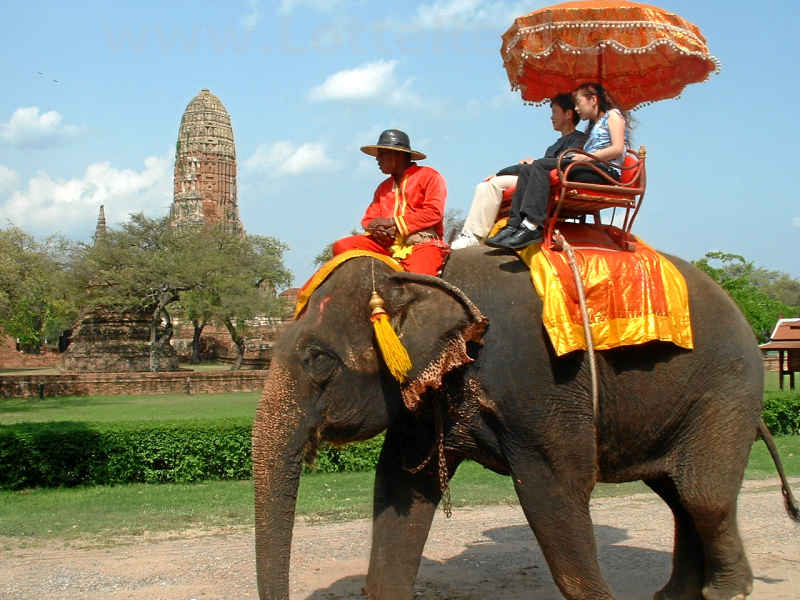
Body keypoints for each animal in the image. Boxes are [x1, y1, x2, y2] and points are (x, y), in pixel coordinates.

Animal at [253, 246, 799, 600]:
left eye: (319, 361)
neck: (426, 278)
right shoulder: (425, 394)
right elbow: (401, 488)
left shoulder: (543, 380)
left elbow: (554, 491)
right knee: (679, 492)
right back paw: (677, 595)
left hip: (727, 389)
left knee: (702, 494)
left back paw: (728, 593)